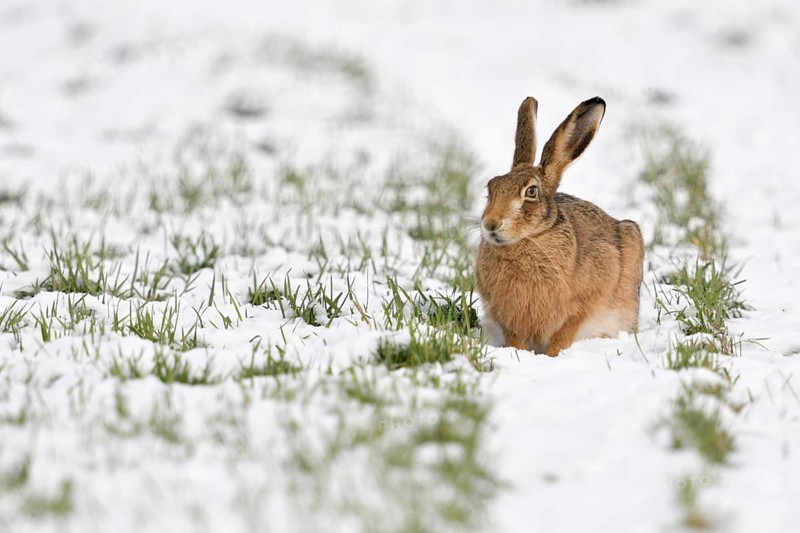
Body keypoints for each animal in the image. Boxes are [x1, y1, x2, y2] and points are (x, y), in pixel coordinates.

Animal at [476, 96, 644, 356]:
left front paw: (552, 355)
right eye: (491, 188)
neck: (530, 239)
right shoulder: (504, 315)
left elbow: (567, 330)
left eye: (531, 192)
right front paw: (519, 353)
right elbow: (514, 336)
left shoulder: (584, 302)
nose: (491, 224)